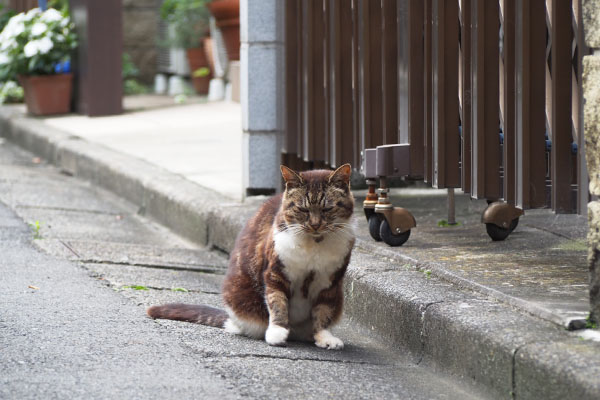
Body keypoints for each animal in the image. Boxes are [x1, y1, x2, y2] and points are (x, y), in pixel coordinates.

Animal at [148, 164, 356, 348]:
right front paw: (277, 331)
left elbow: (324, 311)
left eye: (327, 209)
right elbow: (277, 302)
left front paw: (324, 336)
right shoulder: (275, 272)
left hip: (339, 297)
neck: (314, 245)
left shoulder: (330, 282)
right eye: (302, 209)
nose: (315, 224)